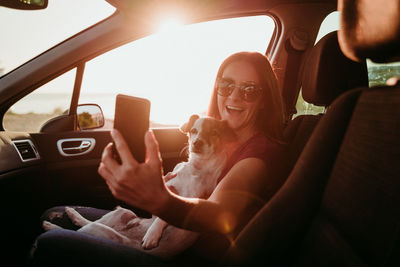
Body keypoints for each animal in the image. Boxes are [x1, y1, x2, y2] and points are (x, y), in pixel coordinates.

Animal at [42, 114, 236, 260]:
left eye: (214, 133)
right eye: (194, 131)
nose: (197, 143)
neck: (196, 167)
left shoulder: (187, 201)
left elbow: (161, 218)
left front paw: (152, 234)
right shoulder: (167, 182)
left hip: (100, 231)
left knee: (78, 230)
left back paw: (51, 227)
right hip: (122, 213)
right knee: (87, 222)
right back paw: (72, 214)